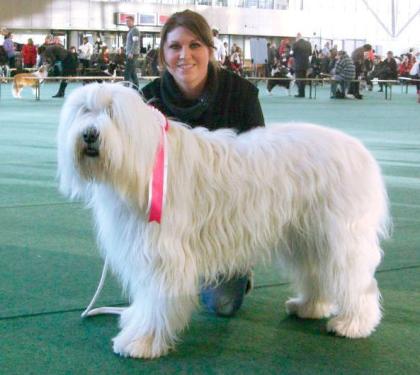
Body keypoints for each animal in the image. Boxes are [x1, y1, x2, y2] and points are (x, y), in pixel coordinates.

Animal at [56, 83, 390, 360]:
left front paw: (141, 342)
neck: (143, 162)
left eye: (111, 113)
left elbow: (156, 300)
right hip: (306, 235)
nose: (90, 134)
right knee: (317, 273)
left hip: (339, 236)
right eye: (85, 111)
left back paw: (354, 324)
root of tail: (360, 150)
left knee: (357, 280)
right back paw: (309, 307)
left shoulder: (162, 254)